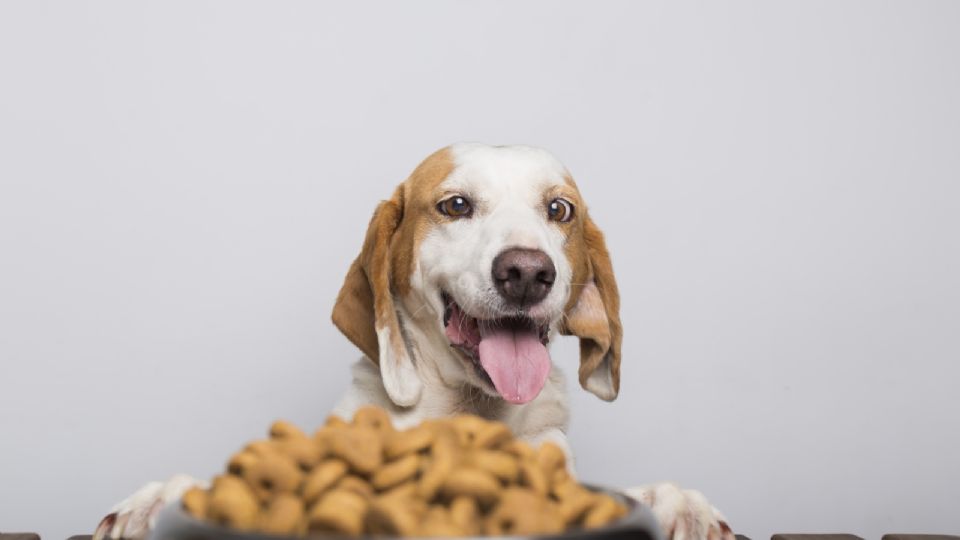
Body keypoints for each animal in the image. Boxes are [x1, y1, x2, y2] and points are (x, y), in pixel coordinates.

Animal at [94, 143, 732, 540]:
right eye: (455, 205)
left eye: (559, 209)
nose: (527, 272)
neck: (465, 411)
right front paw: (153, 501)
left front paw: (681, 505)